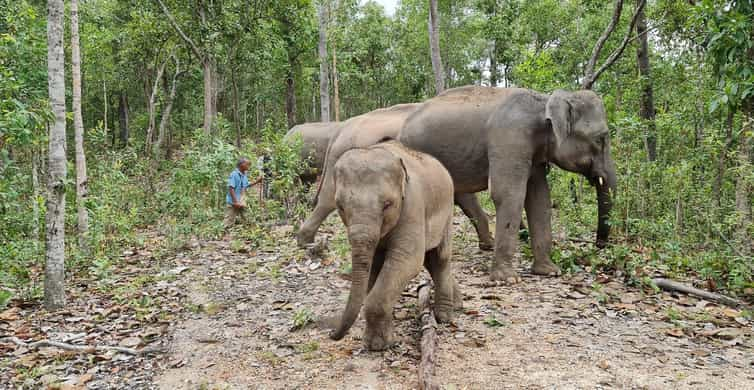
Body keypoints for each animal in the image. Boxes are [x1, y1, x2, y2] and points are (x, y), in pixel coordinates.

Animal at [328, 140, 458, 350]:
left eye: (387, 204)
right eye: (340, 206)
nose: (332, 333)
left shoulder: (413, 205)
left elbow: (407, 260)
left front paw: (377, 346)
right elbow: (375, 266)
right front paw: (378, 341)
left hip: (447, 211)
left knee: (440, 258)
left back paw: (444, 316)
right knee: (429, 260)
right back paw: (458, 304)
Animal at [396, 85, 612, 282]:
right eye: (600, 139)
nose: (599, 245)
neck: (544, 101)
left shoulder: (534, 153)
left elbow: (540, 199)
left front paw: (550, 271)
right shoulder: (509, 138)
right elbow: (508, 194)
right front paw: (507, 279)